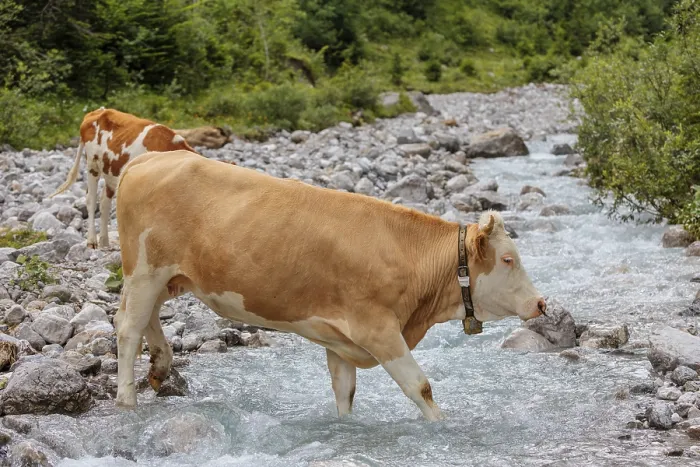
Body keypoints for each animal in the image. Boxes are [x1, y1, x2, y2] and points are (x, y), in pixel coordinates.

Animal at [47, 108, 197, 250]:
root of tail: (98, 111)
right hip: (92, 165)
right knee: (91, 200)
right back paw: (92, 241)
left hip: (111, 174)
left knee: (104, 202)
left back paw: (105, 242)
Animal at [113, 149, 547, 421]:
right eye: (508, 259)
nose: (541, 303)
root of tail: (152, 158)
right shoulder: (378, 329)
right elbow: (419, 386)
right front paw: (444, 426)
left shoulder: (340, 339)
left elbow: (345, 392)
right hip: (145, 269)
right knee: (128, 328)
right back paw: (126, 400)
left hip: (167, 277)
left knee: (147, 318)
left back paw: (160, 367)